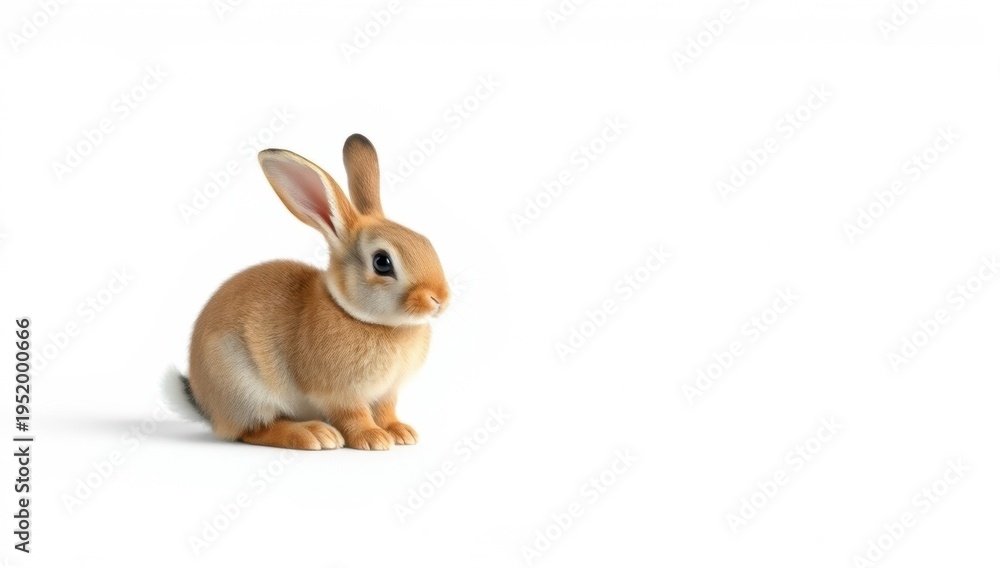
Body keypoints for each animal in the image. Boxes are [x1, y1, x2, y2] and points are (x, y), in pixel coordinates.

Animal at [167, 134, 450, 450]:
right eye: (382, 262)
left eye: (425, 241)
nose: (440, 299)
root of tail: (208, 407)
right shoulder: (340, 393)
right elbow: (354, 415)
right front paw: (373, 438)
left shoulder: (387, 392)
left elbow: (387, 410)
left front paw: (401, 433)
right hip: (244, 389)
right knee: (255, 430)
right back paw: (314, 434)